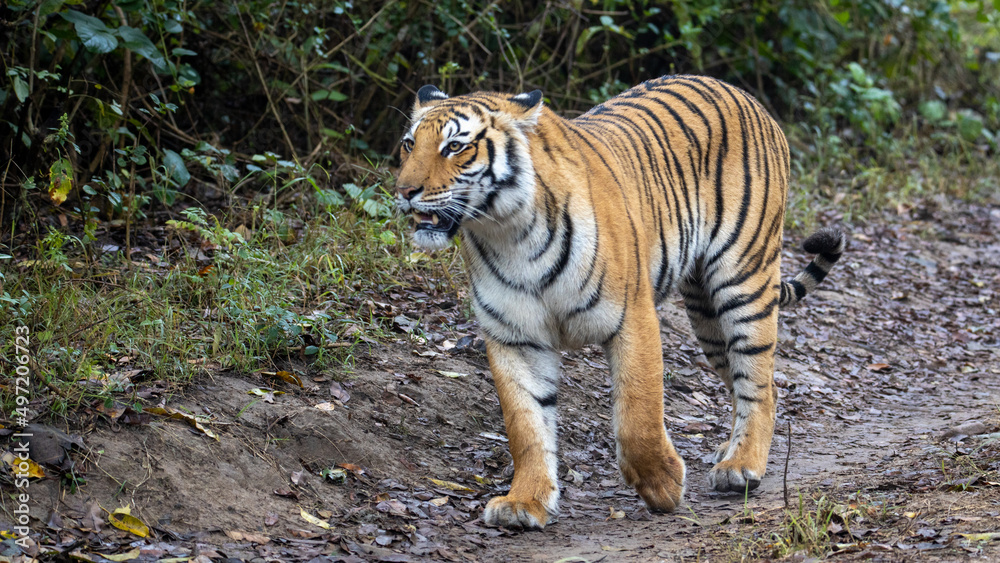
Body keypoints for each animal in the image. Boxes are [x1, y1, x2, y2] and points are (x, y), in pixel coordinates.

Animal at [394, 75, 844, 530]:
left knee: (760, 383)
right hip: (706, 313)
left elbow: (637, 414)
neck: (508, 233)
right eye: (409, 144)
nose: (404, 191)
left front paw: (663, 486)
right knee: (748, 380)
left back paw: (741, 466)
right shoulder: (514, 337)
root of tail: (745, 94)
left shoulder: (632, 317)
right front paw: (525, 502)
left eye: (455, 146)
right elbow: (526, 425)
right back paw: (729, 451)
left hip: (742, 280)